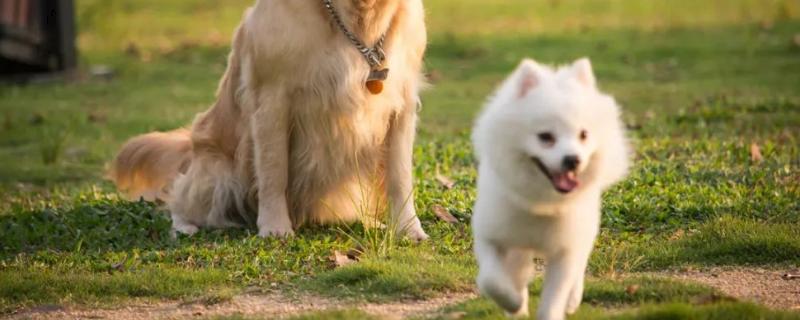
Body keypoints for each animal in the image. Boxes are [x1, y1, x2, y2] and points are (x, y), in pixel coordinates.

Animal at [468, 58, 632, 318]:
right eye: (545, 137)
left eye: (583, 134)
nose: (573, 159)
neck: (542, 203)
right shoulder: (491, 237)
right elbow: (492, 281)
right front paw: (514, 303)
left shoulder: (565, 250)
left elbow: (554, 297)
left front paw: (551, 305)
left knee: (579, 265)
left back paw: (573, 300)